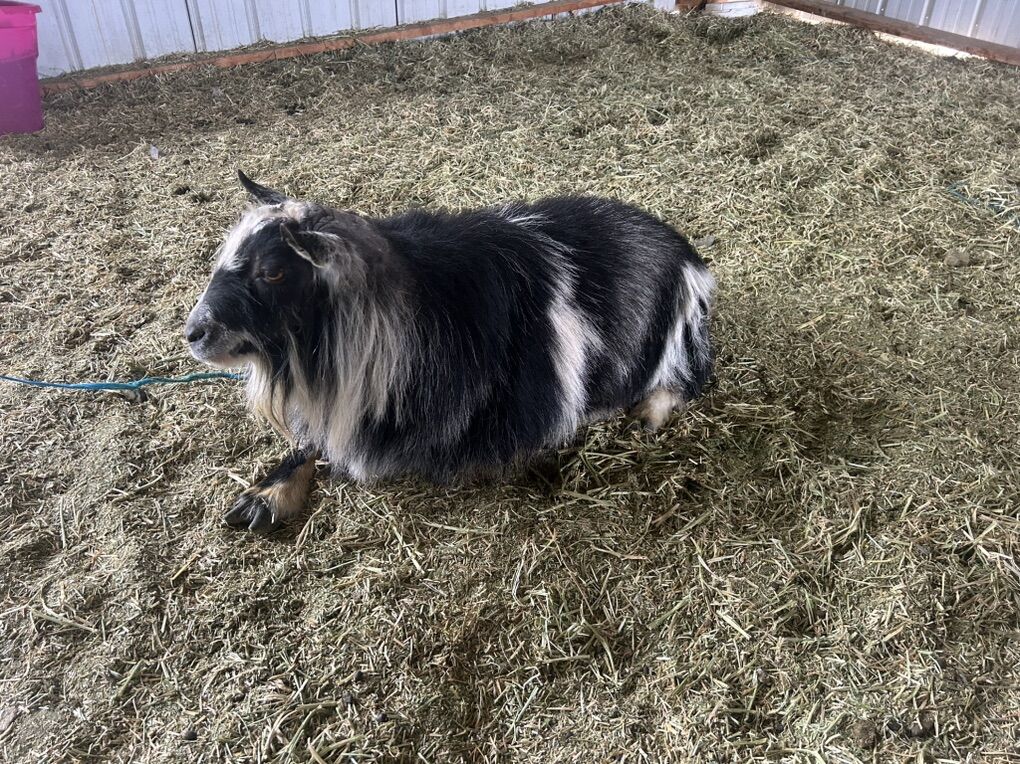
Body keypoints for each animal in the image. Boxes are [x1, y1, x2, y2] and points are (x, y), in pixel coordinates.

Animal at [185, 172, 714, 531]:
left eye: (272, 272)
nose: (193, 332)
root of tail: (686, 254)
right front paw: (265, 495)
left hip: (680, 342)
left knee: (686, 380)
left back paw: (646, 413)